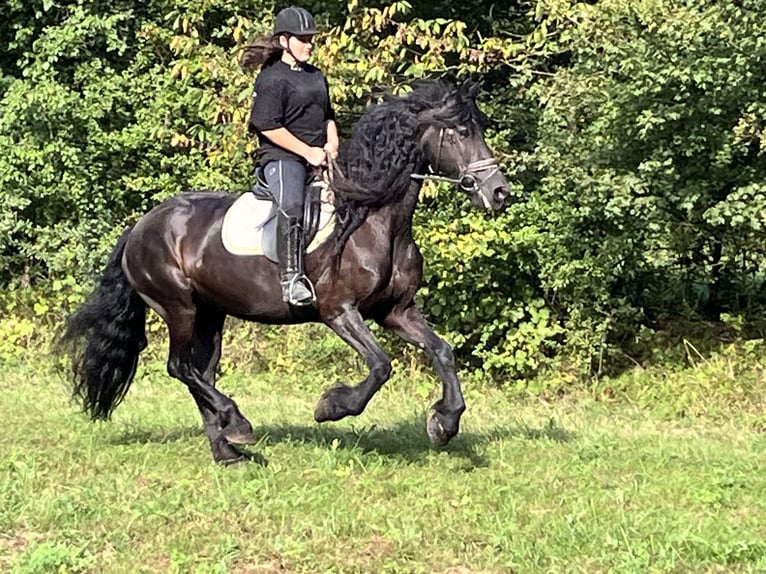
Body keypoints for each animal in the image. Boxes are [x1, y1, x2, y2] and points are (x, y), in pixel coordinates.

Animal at [61, 81, 510, 466]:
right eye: (462, 132)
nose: (499, 192)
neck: (372, 219)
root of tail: (139, 227)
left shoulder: (395, 311)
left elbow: (442, 351)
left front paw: (444, 423)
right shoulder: (338, 311)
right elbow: (381, 365)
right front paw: (331, 407)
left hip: (210, 313)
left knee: (200, 372)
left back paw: (228, 450)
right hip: (178, 307)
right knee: (181, 367)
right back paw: (237, 423)